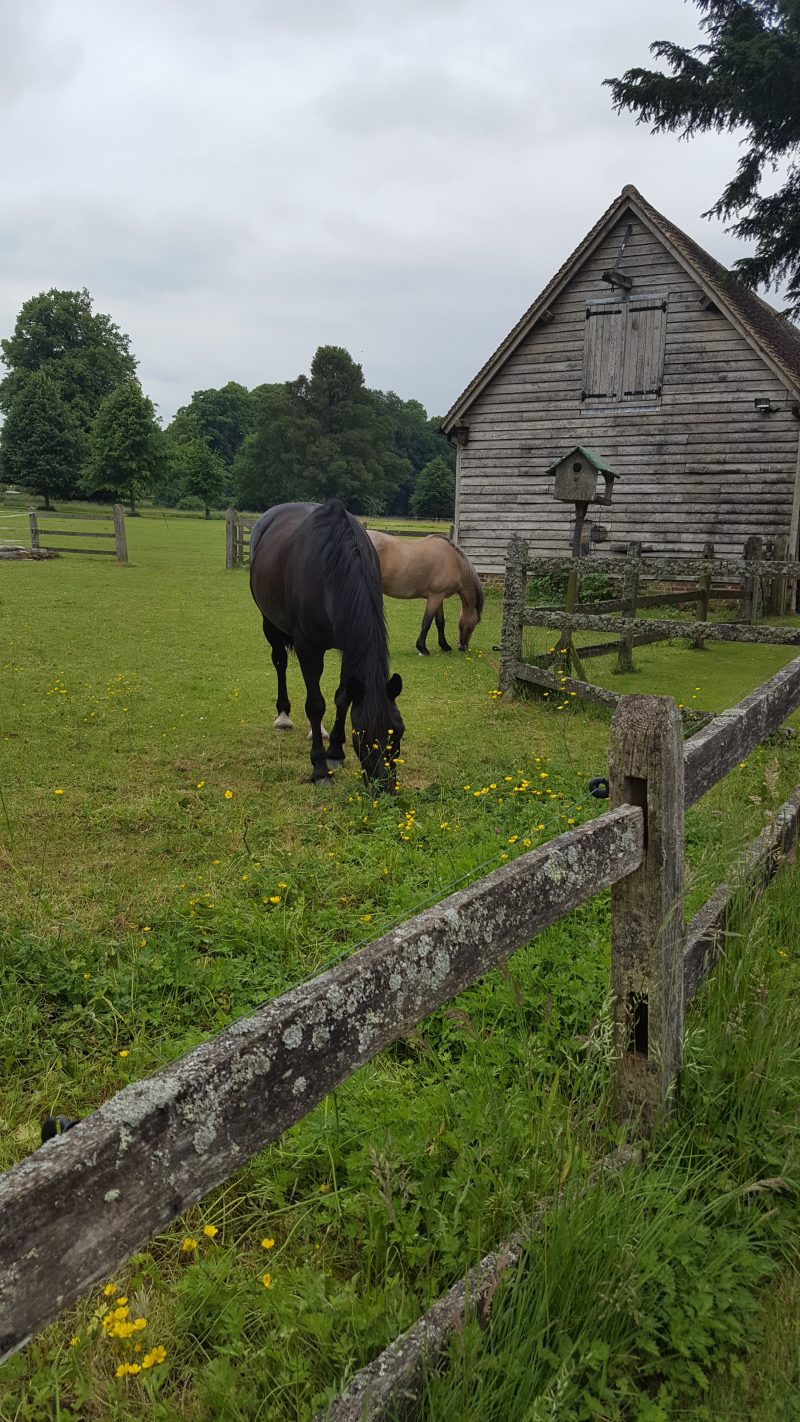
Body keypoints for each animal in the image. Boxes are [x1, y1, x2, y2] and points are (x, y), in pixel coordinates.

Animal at [247, 500, 403, 790]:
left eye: (398, 732)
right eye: (362, 735)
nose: (384, 787)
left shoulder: (347, 646)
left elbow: (343, 697)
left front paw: (335, 752)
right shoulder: (308, 646)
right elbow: (315, 705)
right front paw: (320, 768)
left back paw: (316, 730)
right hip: (271, 624)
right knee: (280, 662)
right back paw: (283, 716)